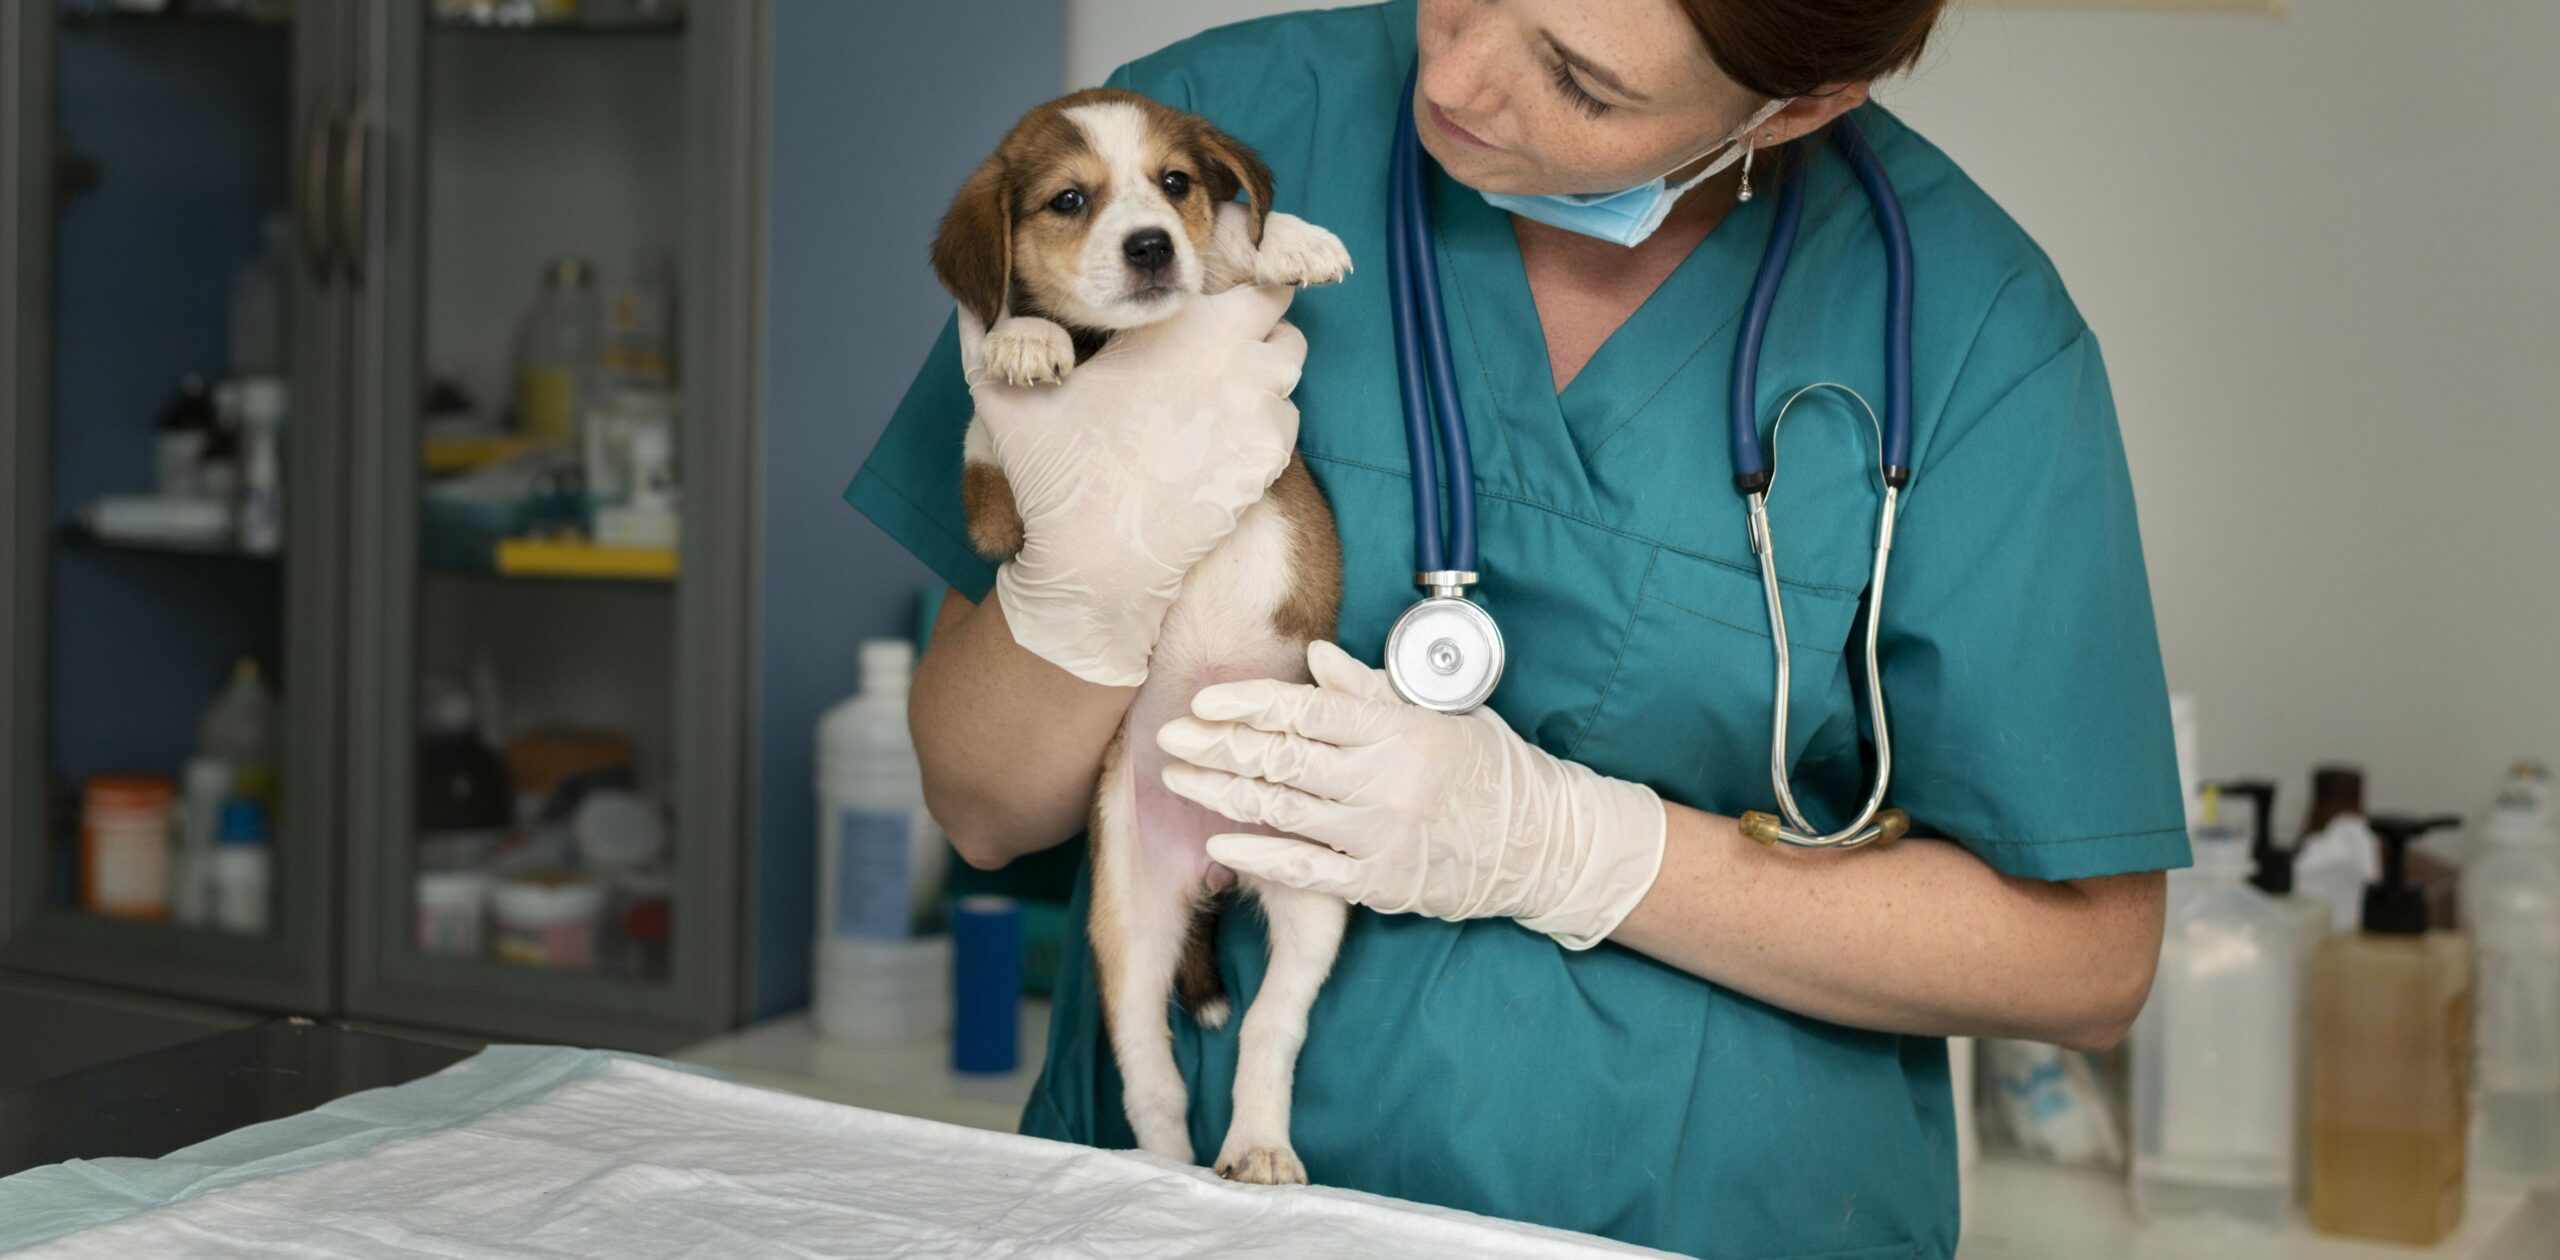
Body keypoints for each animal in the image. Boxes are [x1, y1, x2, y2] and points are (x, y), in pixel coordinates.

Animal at [931, 88, 1351, 1183]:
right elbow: (988, 432)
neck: (1118, 350)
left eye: (1175, 184)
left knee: (1270, 1031)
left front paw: (1280, 238)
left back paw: (1256, 1148)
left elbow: (1235, 257)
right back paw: (1163, 1166)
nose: (1154, 245)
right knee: (1148, 1073)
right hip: (1126, 921)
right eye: (1069, 201)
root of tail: (1215, 864)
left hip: (1313, 898)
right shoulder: (992, 514)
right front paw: (1018, 342)